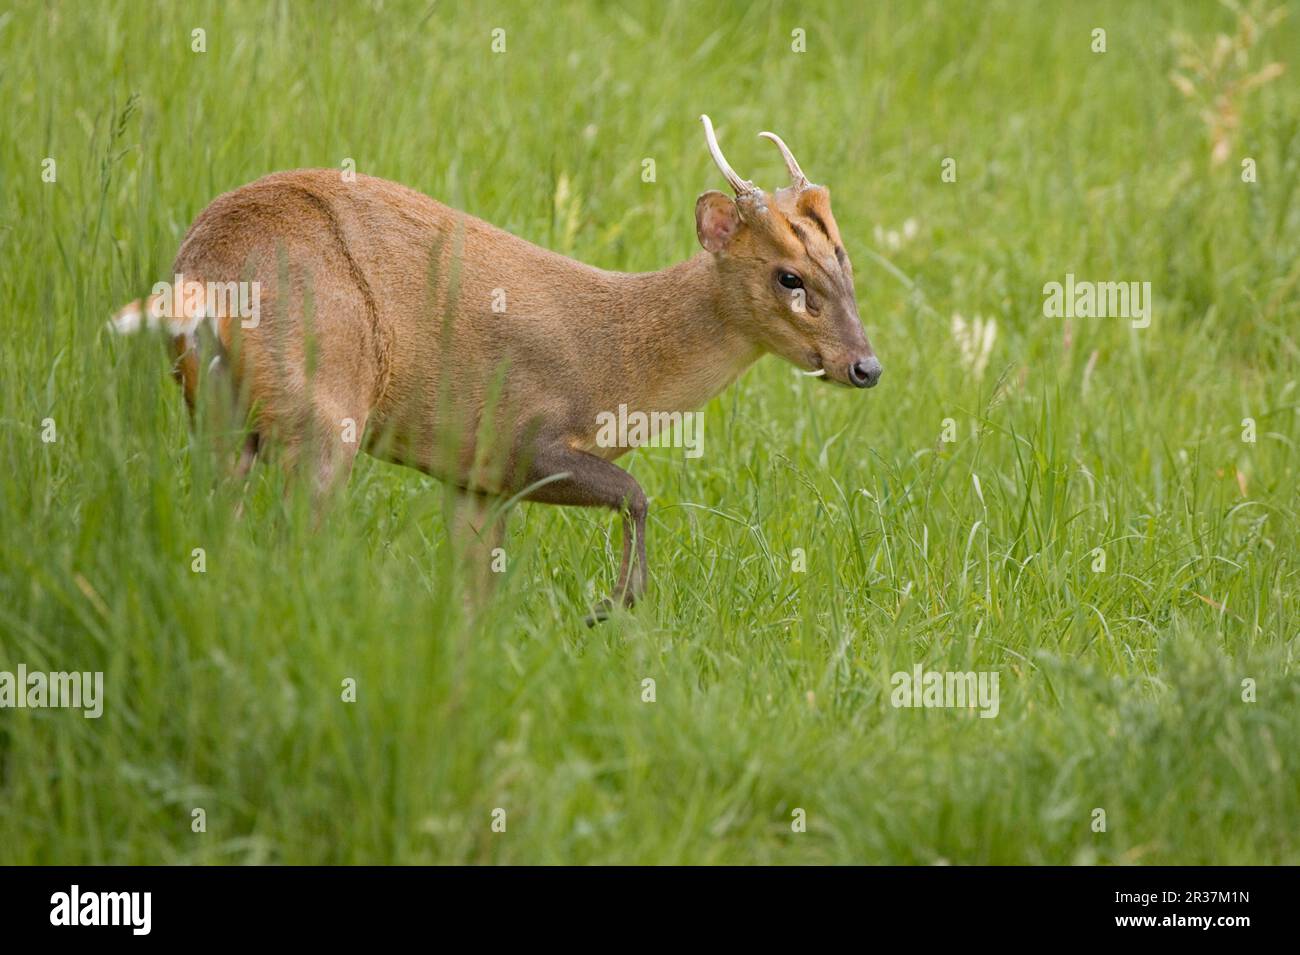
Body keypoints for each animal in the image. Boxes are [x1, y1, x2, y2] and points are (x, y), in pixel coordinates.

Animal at [111, 113, 883, 621]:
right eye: (789, 276)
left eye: (846, 265)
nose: (865, 366)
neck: (618, 362)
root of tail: (201, 272)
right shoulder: (527, 437)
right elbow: (636, 493)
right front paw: (611, 605)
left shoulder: (474, 477)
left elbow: (475, 588)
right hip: (322, 408)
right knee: (297, 538)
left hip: (217, 411)